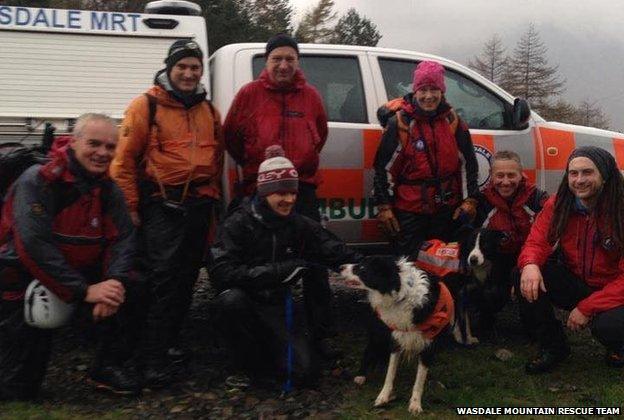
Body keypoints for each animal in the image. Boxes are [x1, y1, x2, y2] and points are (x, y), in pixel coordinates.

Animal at [342, 254, 454, 416]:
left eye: (362, 268)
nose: (340, 267)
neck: (402, 294)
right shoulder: (395, 339)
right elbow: (390, 373)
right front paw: (383, 397)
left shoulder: (428, 346)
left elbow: (419, 379)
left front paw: (415, 404)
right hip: (379, 333)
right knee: (369, 349)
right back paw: (360, 376)